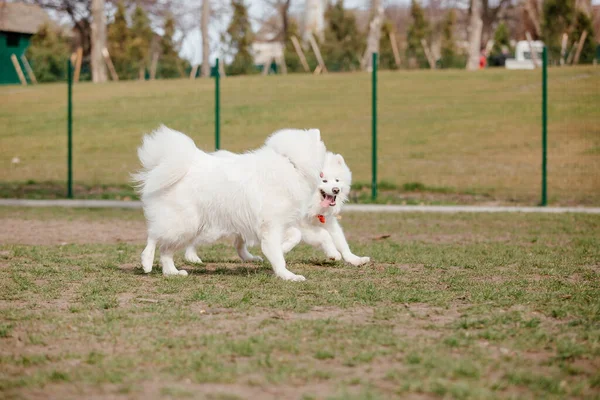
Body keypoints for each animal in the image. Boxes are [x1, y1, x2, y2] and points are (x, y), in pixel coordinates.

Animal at [133, 126, 326, 282]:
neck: (290, 162)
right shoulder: (270, 226)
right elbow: (277, 256)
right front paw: (287, 275)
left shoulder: (280, 223)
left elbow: (295, 236)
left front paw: (284, 248)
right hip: (183, 223)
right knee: (154, 237)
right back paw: (146, 262)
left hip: (189, 230)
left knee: (166, 251)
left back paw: (172, 272)